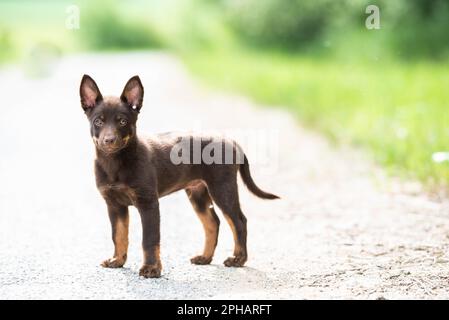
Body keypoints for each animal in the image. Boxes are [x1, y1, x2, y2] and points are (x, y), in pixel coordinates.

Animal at [79, 75, 278, 278]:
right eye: (98, 122)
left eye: (122, 122)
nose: (109, 140)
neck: (116, 163)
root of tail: (232, 141)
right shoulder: (114, 205)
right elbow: (118, 235)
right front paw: (117, 260)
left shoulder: (148, 203)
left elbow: (149, 240)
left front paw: (151, 268)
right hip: (198, 193)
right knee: (213, 222)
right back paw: (205, 257)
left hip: (222, 188)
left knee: (238, 221)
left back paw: (238, 259)